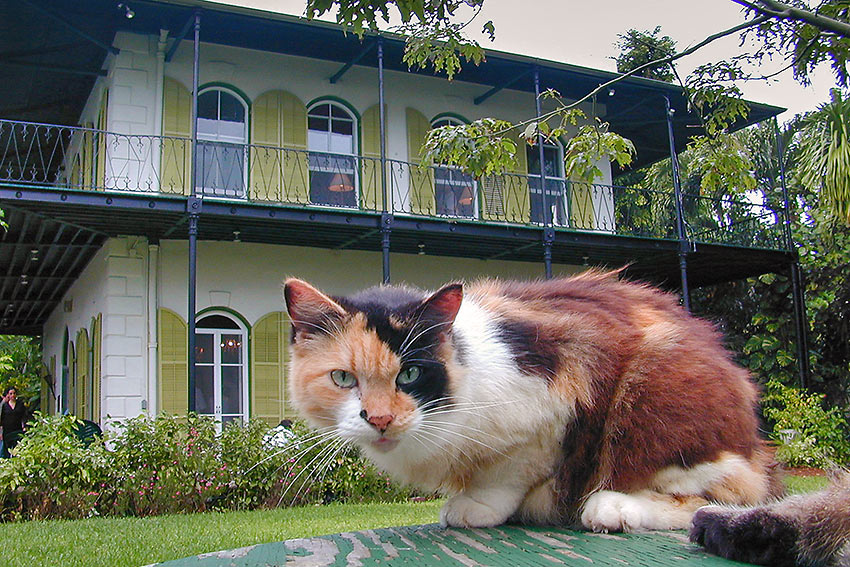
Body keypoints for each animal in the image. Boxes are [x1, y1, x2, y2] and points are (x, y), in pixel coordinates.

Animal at [282, 272, 780, 536]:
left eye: (410, 375)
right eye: (343, 378)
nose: (381, 419)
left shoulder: (551, 410)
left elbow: (505, 474)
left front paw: (475, 507)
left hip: (653, 405)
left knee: (723, 500)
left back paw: (610, 508)